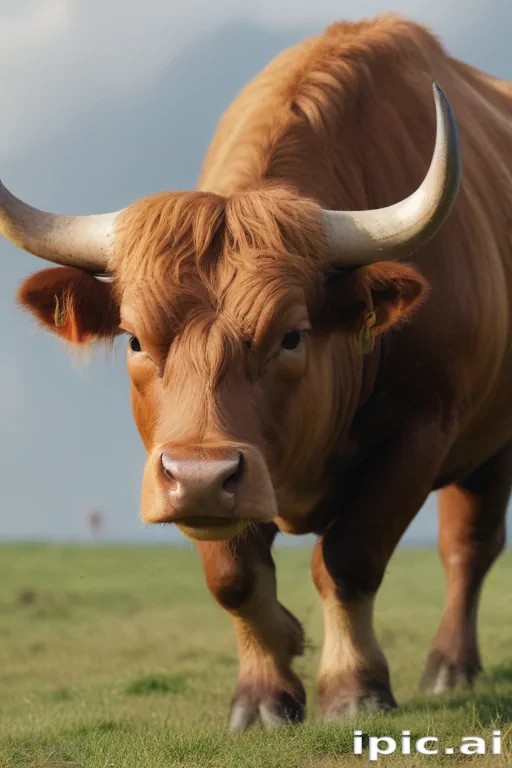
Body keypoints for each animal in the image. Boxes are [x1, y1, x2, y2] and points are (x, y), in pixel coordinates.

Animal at [1, 12, 510, 730]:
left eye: (291, 335)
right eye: (134, 339)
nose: (200, 477)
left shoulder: (419, 432)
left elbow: (348, 560)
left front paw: (355, 687)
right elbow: (236, 577)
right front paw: (267, 689)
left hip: (490, 443)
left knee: (469, 545)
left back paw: (450, 668)